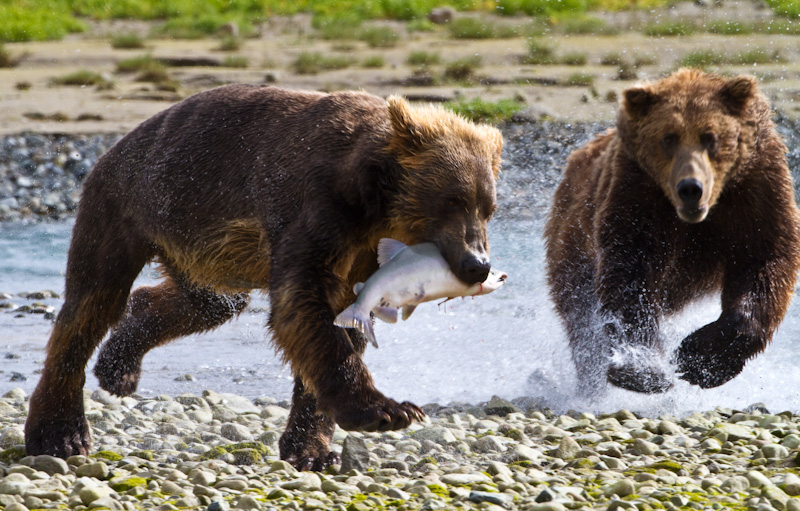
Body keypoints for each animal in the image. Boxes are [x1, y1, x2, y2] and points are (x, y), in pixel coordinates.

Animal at [23, 85, 500, 472]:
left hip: (200, 244)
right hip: (124, 204)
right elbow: (305, 304)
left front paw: (312, 449)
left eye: (488, 207)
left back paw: (119, 367)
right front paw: (386, 410)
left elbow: (337, 318)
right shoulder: (318, 210)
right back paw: (60, 433)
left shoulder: (362, 253)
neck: (374, 202)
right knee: (91, 302)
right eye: (452, 200)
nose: (477, 264)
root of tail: (117, 144)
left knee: (204, 304)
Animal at [544, 68, 800, 396]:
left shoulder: (758, 189)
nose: (691, 188)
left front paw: (702, 359)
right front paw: (642, 368)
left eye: (710, 137)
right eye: (668, 138)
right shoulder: (638, 194)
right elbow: (631, 274)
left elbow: (765, 263)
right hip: (573, 243)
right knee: (580, 317)